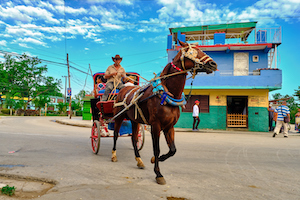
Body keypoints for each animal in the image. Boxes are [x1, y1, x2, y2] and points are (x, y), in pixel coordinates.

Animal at [111, 40, 217, 184]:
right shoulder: (156, 126)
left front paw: (156, 159)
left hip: (134, 120)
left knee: (134, 139)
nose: (213, 64)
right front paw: (158, 174)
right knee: (116, 134)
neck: (169, 93)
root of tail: (122, 89)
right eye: (192, 52)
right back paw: (114, 155)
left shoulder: (169, 126)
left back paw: (139, 160)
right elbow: (157, 149)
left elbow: (173, 150)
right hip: (119, 116)